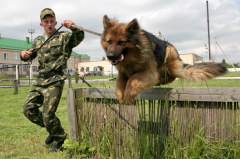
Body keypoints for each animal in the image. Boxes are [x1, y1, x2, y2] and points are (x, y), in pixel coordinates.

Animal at [100, 14, 228, 104]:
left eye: (121, 42)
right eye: (109, 41)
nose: (110, 56)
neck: (131, 57)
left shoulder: (149, 73)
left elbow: (133, 79)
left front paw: (128, 95)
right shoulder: (122, 72)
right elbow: (119, 82)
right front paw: (121, 96)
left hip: (171, 60)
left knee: (172, 76)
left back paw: (160, 80)